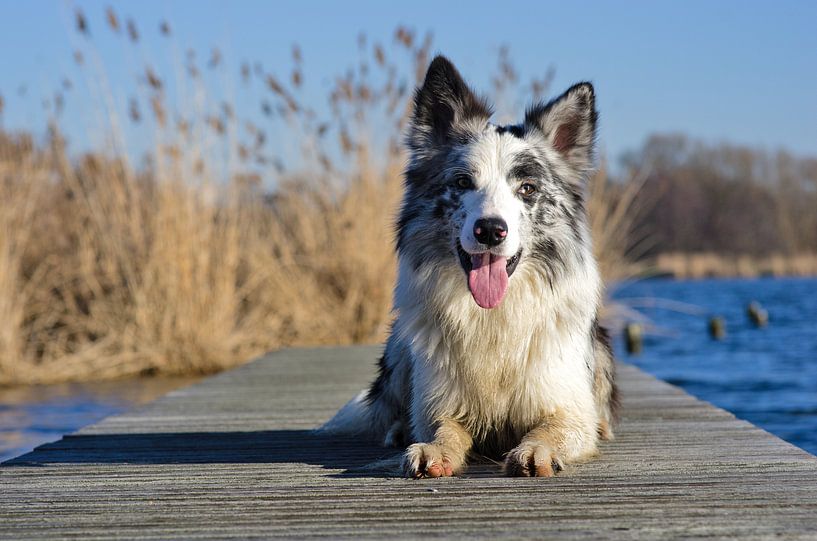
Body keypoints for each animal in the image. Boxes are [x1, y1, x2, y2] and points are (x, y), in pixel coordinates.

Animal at [322, 56, 616, 476]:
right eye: (462, 182)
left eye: (527, 188)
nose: (490, 229)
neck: (494, 317)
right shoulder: (439, 402)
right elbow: (443, 427)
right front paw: (432, 450)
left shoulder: (567, 407)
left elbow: (554, 429)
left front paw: (536, 450)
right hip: (399, 346)